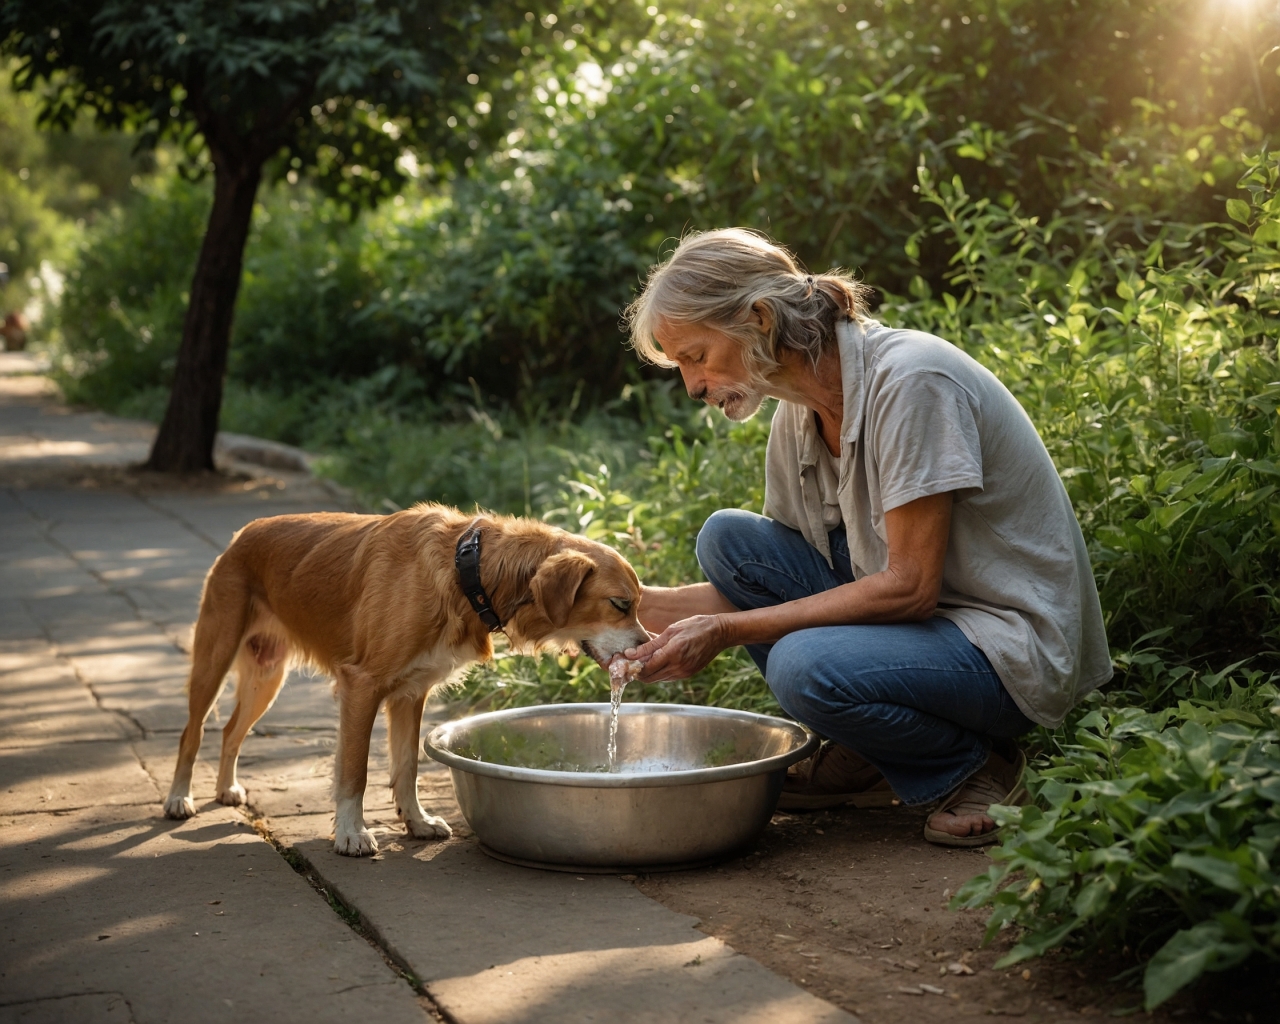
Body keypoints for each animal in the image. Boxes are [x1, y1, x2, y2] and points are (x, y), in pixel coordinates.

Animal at [163, 504, 650, 855]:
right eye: (620, 604)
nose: (647, 647)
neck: (467, 571)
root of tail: (243, 534)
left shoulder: (410, 694)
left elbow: (407, 767)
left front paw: (416, 822)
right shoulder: (362, 686)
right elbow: (355, 772)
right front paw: (351, 833)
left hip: (267, 677)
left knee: (231, 730)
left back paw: (225, 787)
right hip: (215, 658)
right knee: (193, 731)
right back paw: (178, 798)